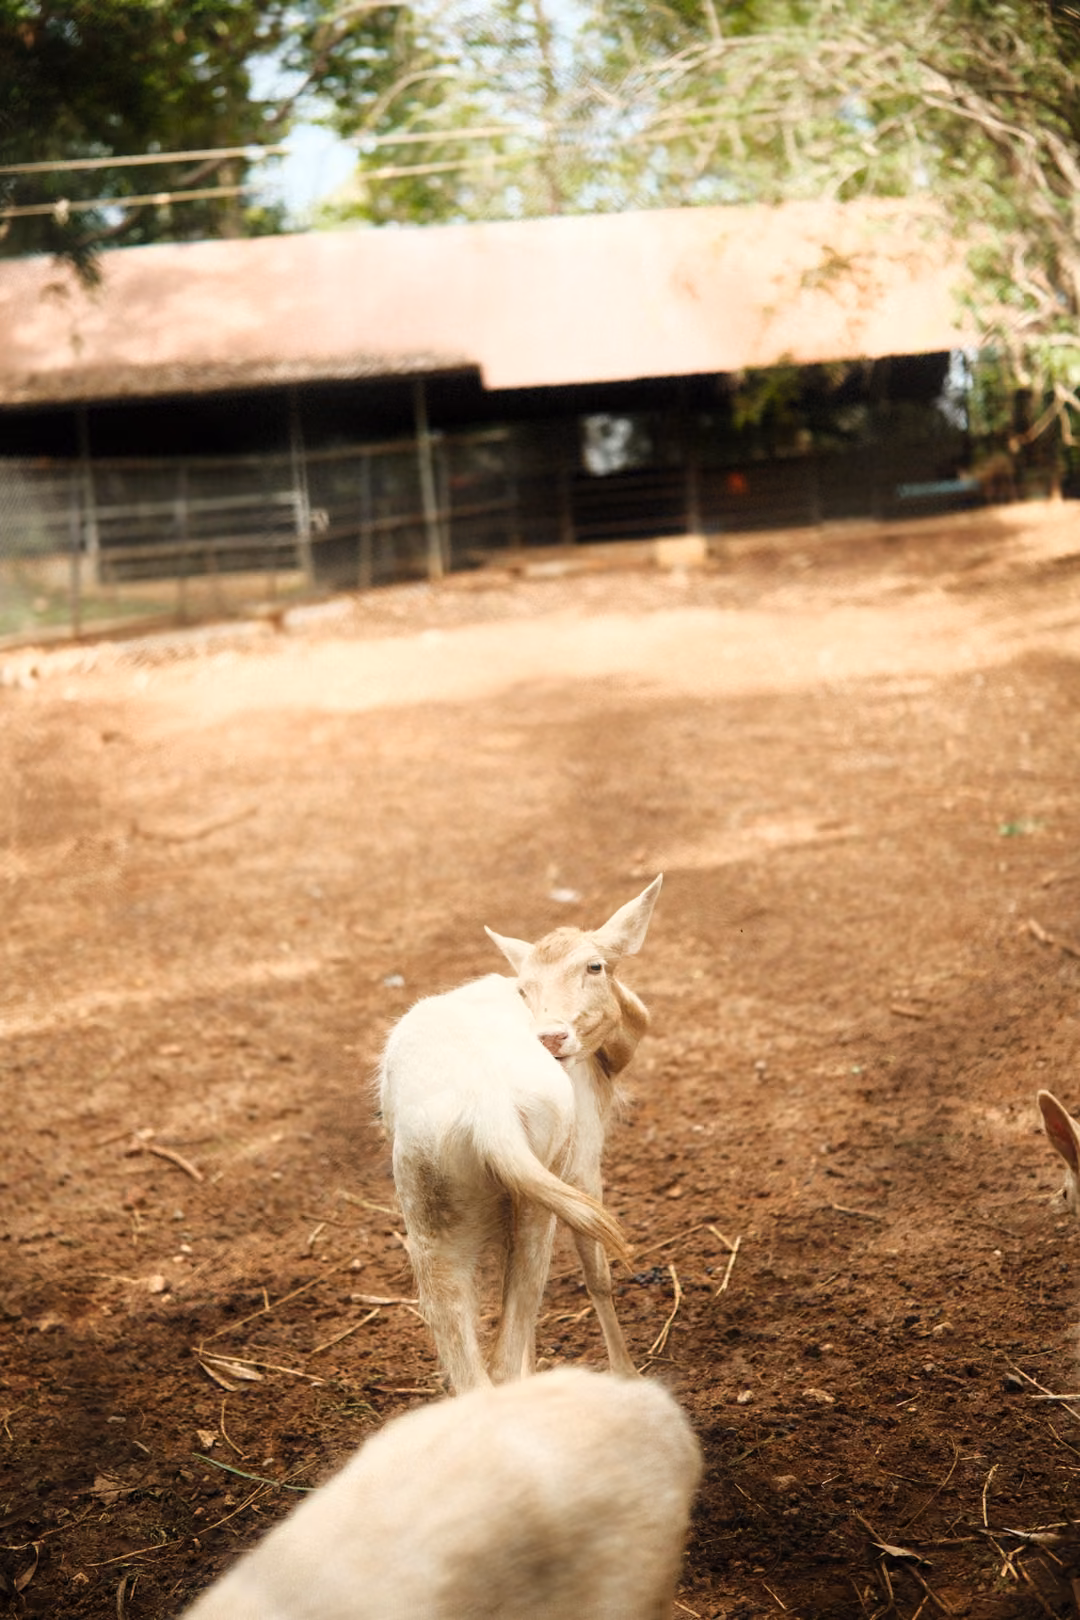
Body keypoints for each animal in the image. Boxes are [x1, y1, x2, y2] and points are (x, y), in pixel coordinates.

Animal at [377, 875, 662, 1393]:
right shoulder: (584, 1154)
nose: (553, 1037)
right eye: (525, 987)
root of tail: (486, 1108)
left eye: (594, 965)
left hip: (425, 1195)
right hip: (540, 1182)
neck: (610, 1062)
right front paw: (628, 1373)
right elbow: (597, 1272)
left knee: (464, 1356)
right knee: (506, 1349)